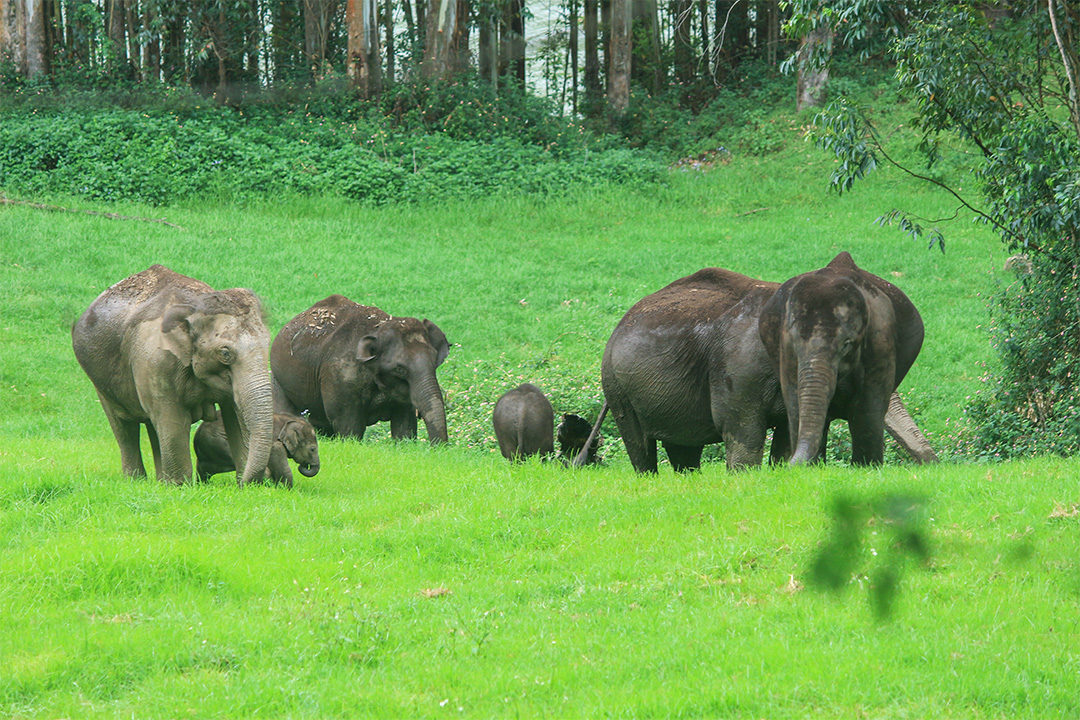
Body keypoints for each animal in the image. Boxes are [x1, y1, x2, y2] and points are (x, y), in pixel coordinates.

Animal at [70, 264, 274, 483]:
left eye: (267, 343)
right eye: (225, 353)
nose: (249, 481)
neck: (195, 305)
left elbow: (235, 417)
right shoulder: (157, 362)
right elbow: (172, 419)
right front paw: (180, 486)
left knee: (153, 426)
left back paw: (160, 482)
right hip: (99, 381)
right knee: (125, 426)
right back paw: (136, 481)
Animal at [274, 293, 455, 442]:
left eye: (435, 362)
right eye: (399, 369)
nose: (439, 449)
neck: (380, 327)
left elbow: (404, 426)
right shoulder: (341, 376)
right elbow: (349, 426)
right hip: (278, 379)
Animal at [760, 253, 928, 468]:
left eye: (846, 344)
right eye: (795, 342)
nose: (786, 466)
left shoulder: (881, 339)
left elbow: (868, 409)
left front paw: (865, 468)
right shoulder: (784, 349)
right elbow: (794, 401)